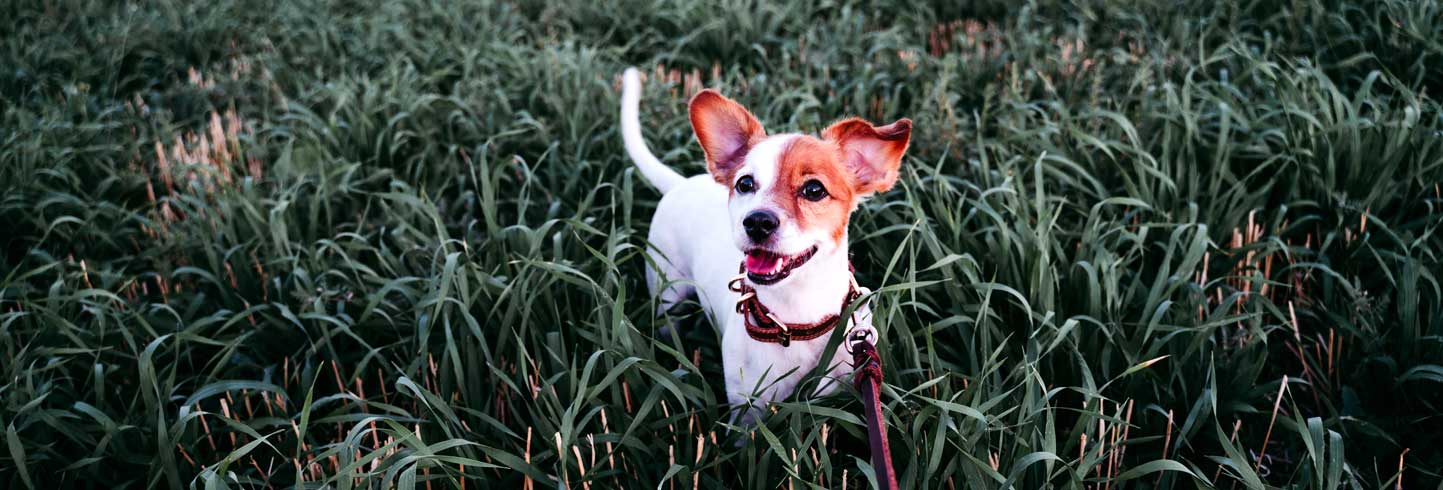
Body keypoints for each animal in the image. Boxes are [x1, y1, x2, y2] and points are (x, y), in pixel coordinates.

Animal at [620, 68, 911, 423]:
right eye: (745, 184)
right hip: (667, 293)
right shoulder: (747, 410)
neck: (797, 319)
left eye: (814, 190)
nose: (757, 221)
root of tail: (681, 183)